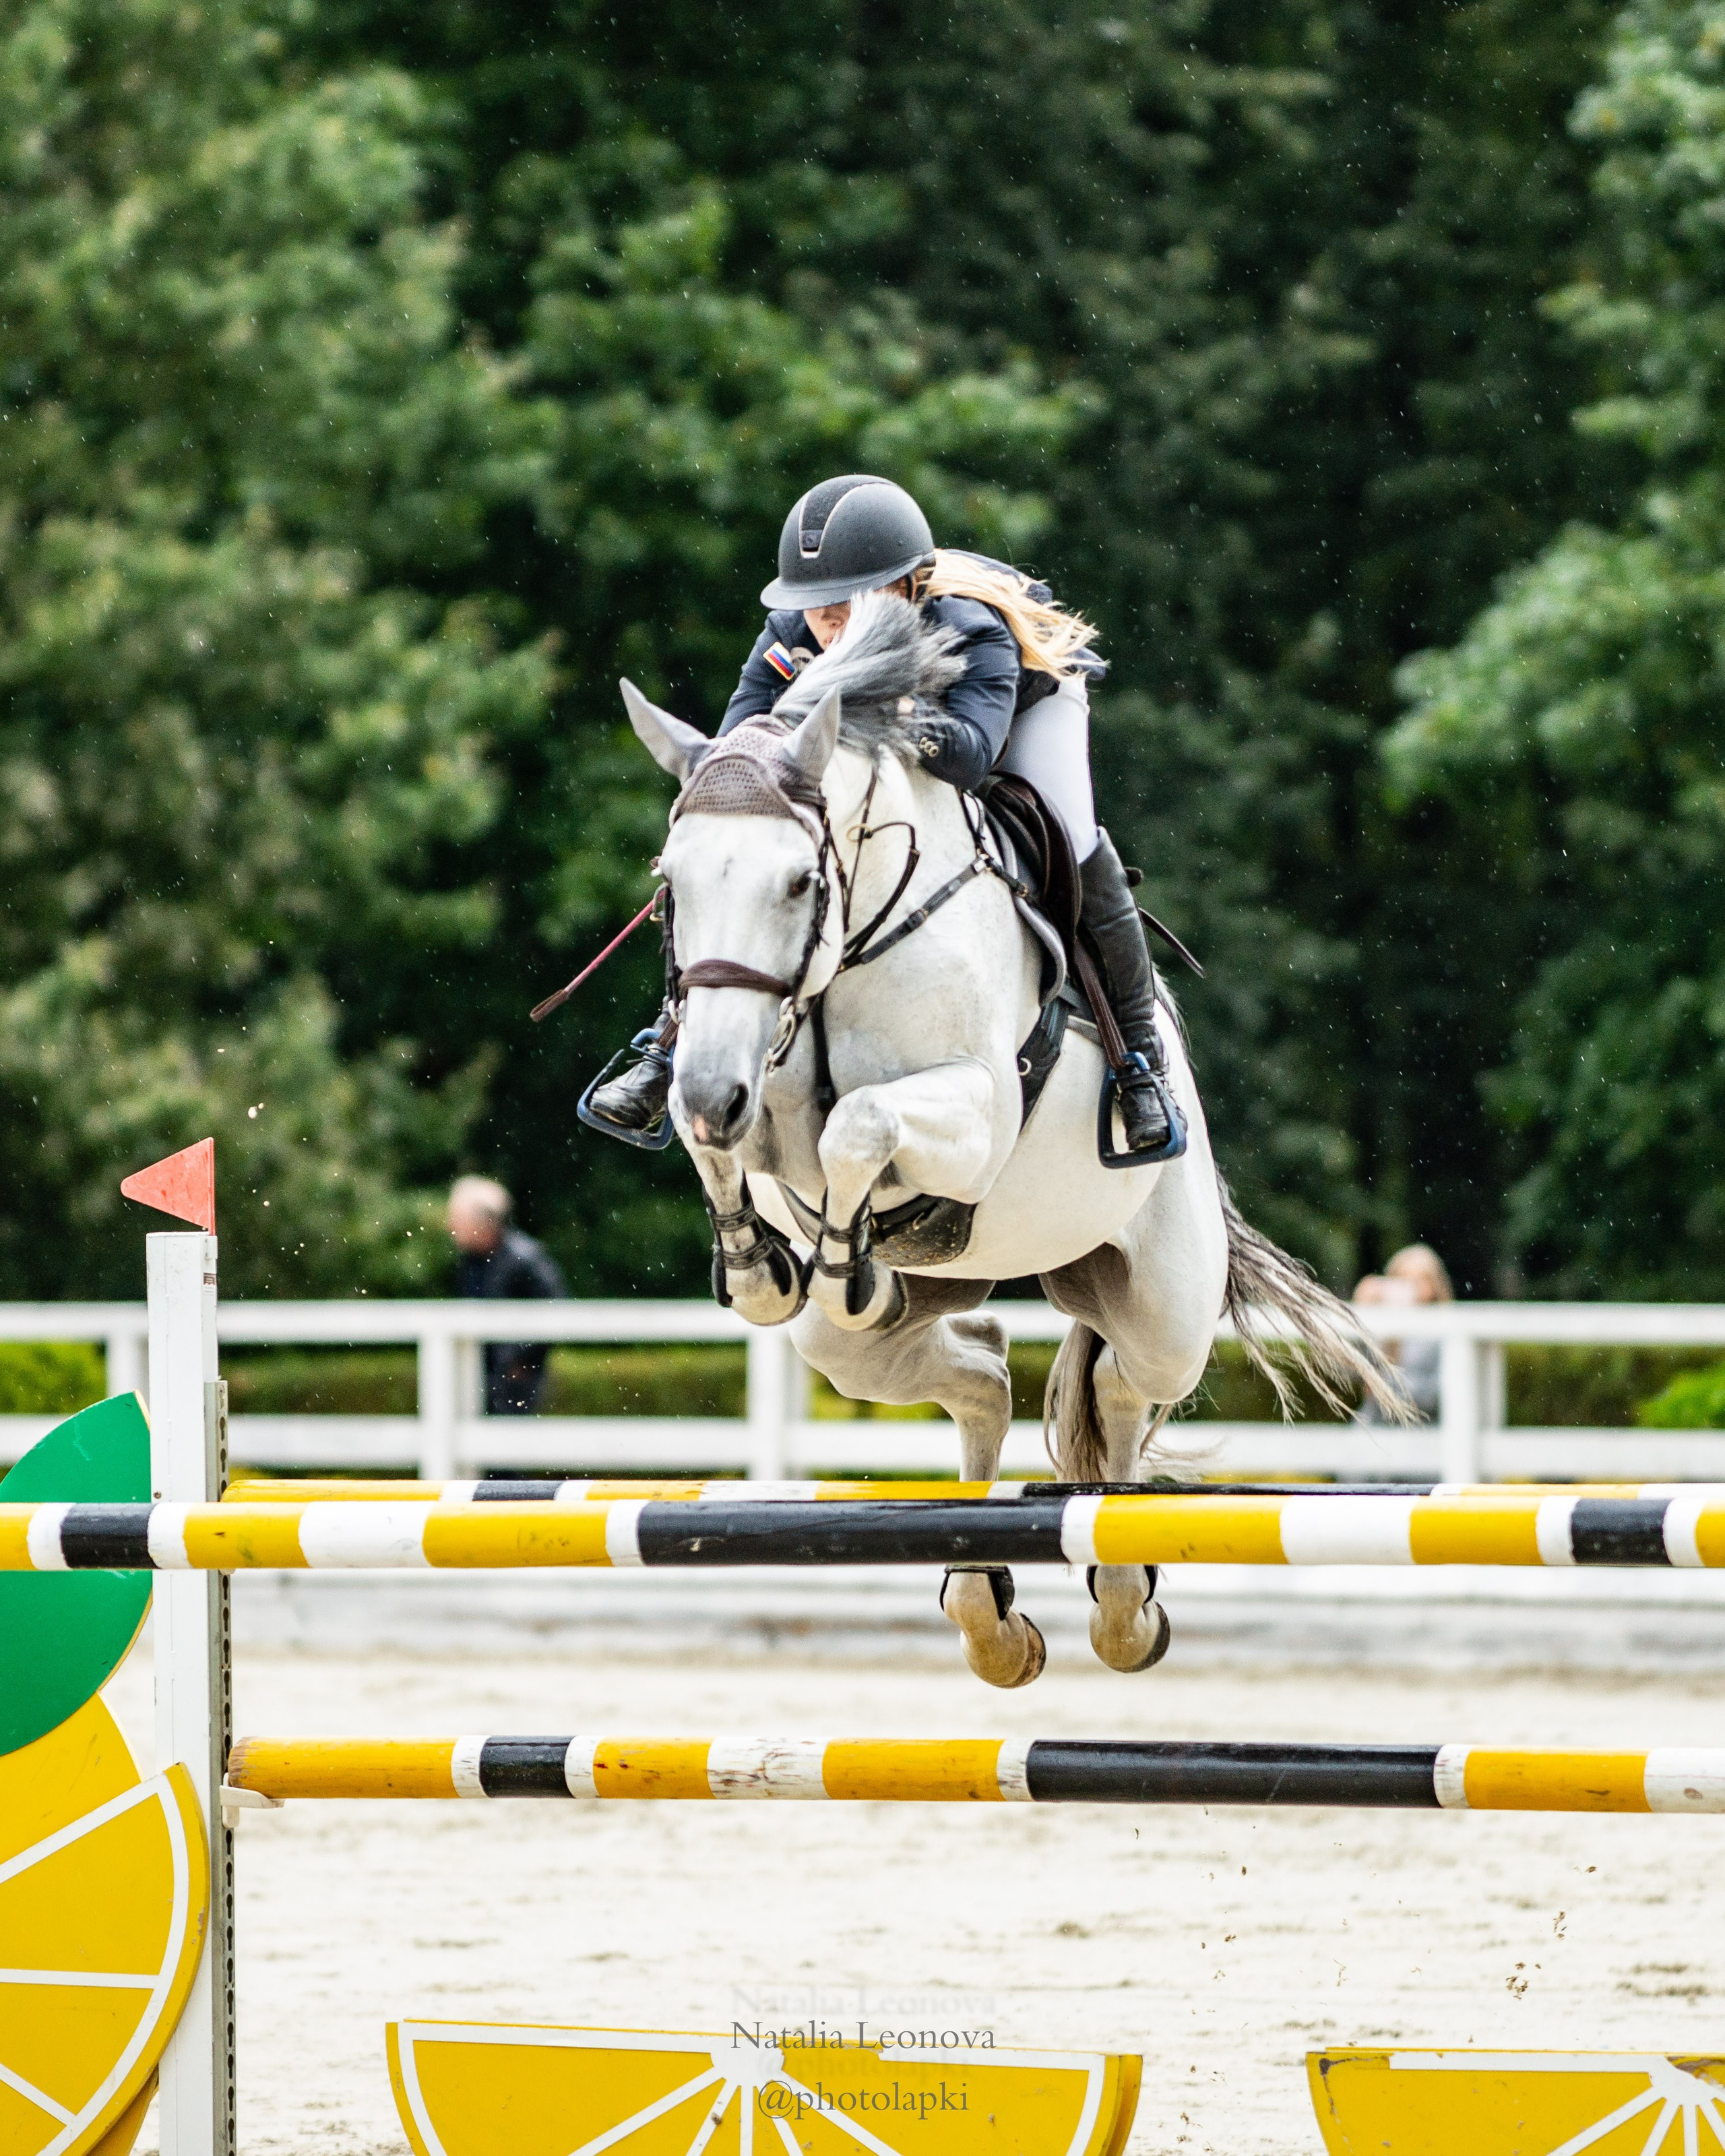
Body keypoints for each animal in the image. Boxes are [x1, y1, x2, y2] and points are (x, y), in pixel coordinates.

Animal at [620, 593, 1404, 1687]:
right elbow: (738, 1154)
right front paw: (760, 1263)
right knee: (980, 1369)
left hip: (1162, 1302)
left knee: (1118, 1393)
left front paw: (837, 1258)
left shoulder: (976, 1114)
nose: (710, 1092)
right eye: (671, 879)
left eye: (797, 881)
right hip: (895, 1327)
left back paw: (1121, 1605)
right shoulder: (743, 1089)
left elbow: (861, 1123)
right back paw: (986, 1609)